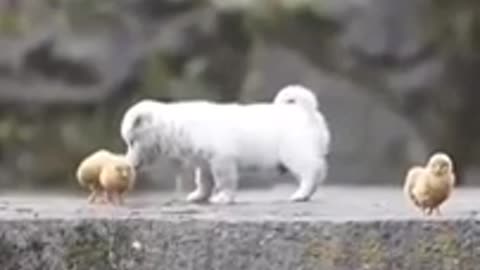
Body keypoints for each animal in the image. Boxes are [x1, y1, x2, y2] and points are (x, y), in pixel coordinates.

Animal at [120, 85, 330, 204]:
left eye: (131, 141)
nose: (129, 164)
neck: (176, 127)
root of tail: (307, 112)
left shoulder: (222, 158)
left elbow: (224, 179)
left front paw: (222, 198)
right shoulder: (204, 161)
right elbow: (204, 179)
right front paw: (199, 196)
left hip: (295, 151)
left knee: (310, 170)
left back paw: (301, 194)